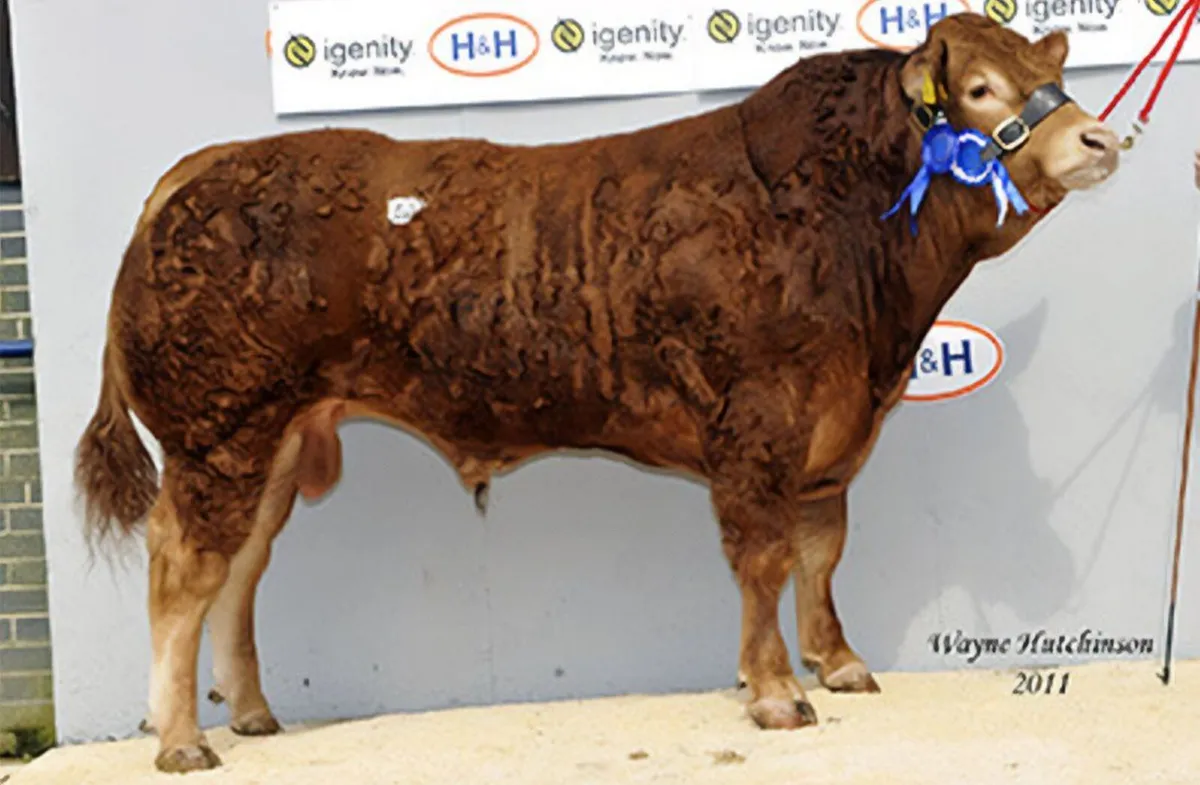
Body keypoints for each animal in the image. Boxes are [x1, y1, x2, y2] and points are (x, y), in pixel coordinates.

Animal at [75, 13, 1119, 773]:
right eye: (978, 90)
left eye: (1050, 74)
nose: (1100, 136)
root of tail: (199, 169)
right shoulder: (760, 428)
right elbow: (764, 560)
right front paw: (778, 691)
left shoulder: (832, 438)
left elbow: (821, 555)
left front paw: (842, 664)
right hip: (219, 432)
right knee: (183, 570)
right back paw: (181, 740)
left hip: (276, 439)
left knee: (240, 570)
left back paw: (252, 713)